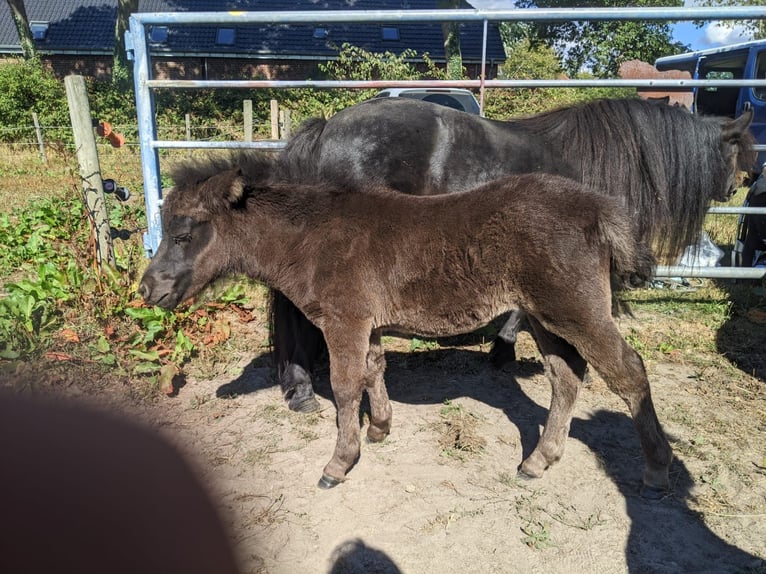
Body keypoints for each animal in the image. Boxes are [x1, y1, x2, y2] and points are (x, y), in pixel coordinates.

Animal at [138, 152, 672, 496]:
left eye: (183, 235)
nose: (146, 289)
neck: (310, 239)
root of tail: (598, 207)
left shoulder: (344, 320)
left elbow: (345, 385)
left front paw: (339, 463)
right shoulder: (368, 324)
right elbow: (374, 371)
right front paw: (379, 428)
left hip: (575, 309)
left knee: (628, 372)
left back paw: (657, 469)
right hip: (545, 318)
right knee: (566, 378)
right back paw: (538, 461)